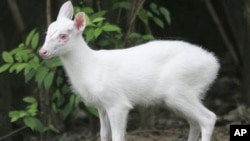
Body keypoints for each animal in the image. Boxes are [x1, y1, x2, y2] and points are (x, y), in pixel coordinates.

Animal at [38, 1, 219, 141]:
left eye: (63, 36)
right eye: (47, 31)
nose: (42, 52)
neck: (90, 67)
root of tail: (214, 64)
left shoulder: (117, 102)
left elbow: (118, 136)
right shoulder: (101, 105)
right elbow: (104, 134)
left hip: (180, 90)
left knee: (209, 118)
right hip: (181, 96)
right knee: (195, 122)